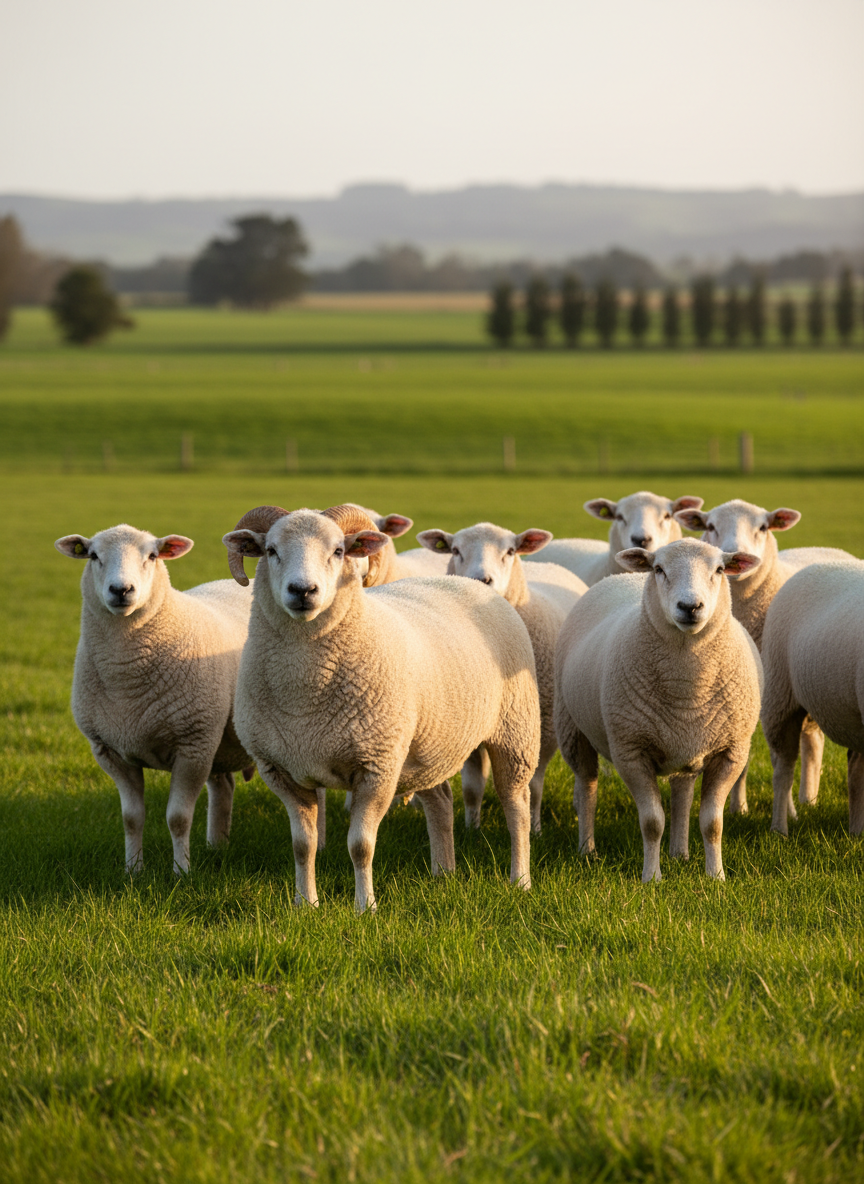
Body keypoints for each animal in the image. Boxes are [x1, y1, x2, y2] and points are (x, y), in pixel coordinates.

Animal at [55, 524, 254, 873]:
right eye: (93, 555)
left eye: (151, 555)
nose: (121, 590)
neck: (127, 682)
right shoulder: (110, 751)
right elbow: (131, 818)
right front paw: (133, 871)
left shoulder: (193, 746)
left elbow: (178, 818)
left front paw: (182, 873)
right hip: (219, 741)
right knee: (224, 786)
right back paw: (218, 846)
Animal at [223, 503, 541, 912]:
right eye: (271, 551)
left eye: (339, 551)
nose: (303, 591)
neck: (304, 692)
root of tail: (470, 583)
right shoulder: (281, 771)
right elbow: (302, 845)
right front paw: (305, 905)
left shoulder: (377, 767)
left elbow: (361, 846)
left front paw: (365, 907)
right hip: (427, 745)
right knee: (440, 800)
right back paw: (443, 873)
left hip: (515, 732)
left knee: (516, 806)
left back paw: (520, 880)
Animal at [417, 521, 587, 831]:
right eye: (455, 550)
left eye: (509, 551)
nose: (482, 580)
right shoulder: (472, 719)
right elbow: (472, 785)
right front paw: (472, 827)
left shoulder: (541, 722)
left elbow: (535, 783)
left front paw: (535, 827)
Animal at [554, 538, 763, 881]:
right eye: (659, 569)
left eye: (719, 570)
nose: (690, 607)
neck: (687, 685)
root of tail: (621, 577)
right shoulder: (631, 752)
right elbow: (652, 822)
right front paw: (651, 877)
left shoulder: (731, 752)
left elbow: (713, 823)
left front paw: (716, 876)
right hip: (572, 727)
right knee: (587, 786)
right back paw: (587, 849)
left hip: (687, 742)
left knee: (682, 793)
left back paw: (680, 853)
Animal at [674, 498, 854, 815]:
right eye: (710, 526)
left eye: (762, 527)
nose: (734, 552)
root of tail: (831, 551)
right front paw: (738, 808)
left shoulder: (770, 694)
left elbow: (776, 757)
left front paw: (787, 810)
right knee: (811, 738)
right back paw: (808, 798)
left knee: (810, 741)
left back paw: (806, 799)